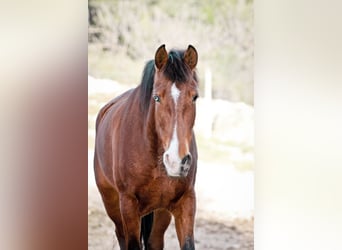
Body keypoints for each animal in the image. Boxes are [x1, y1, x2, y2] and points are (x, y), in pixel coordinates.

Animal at [95, 44, 199, 249]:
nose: (177, 161)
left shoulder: (186, 201)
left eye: (195, 97)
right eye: (157, 97)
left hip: (160, 213)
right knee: (121, 236)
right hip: (112, 204)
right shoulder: (128, 205)